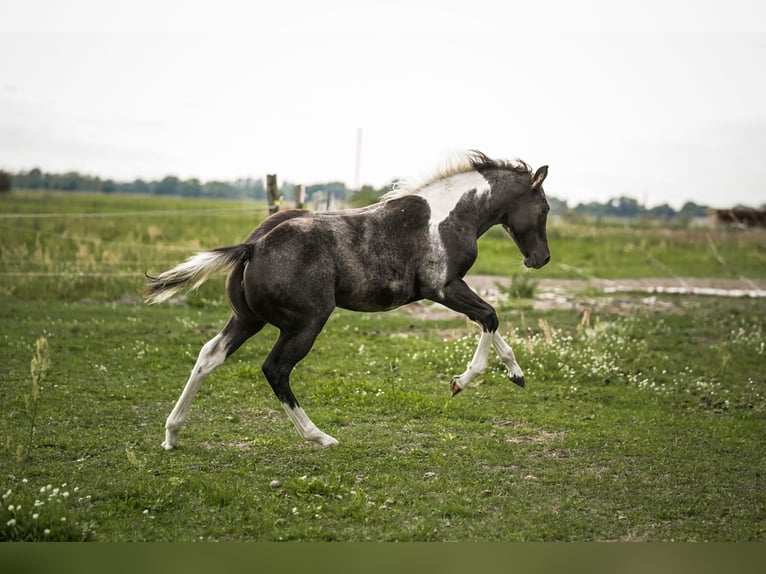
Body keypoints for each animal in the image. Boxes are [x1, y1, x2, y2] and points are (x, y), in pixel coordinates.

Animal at [144, 152, 552, 450]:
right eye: (545, 209)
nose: (542, 258)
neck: (449, 215)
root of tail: (254, 245)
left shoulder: (451, 290)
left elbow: (488, 322)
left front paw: (516, 374)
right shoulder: (444, 287)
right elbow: (490, 316)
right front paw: (461, 381)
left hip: (247, 319)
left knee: (209, 355)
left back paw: (172, 434)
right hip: (306, 322)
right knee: (275, 369)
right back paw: (320, 437)